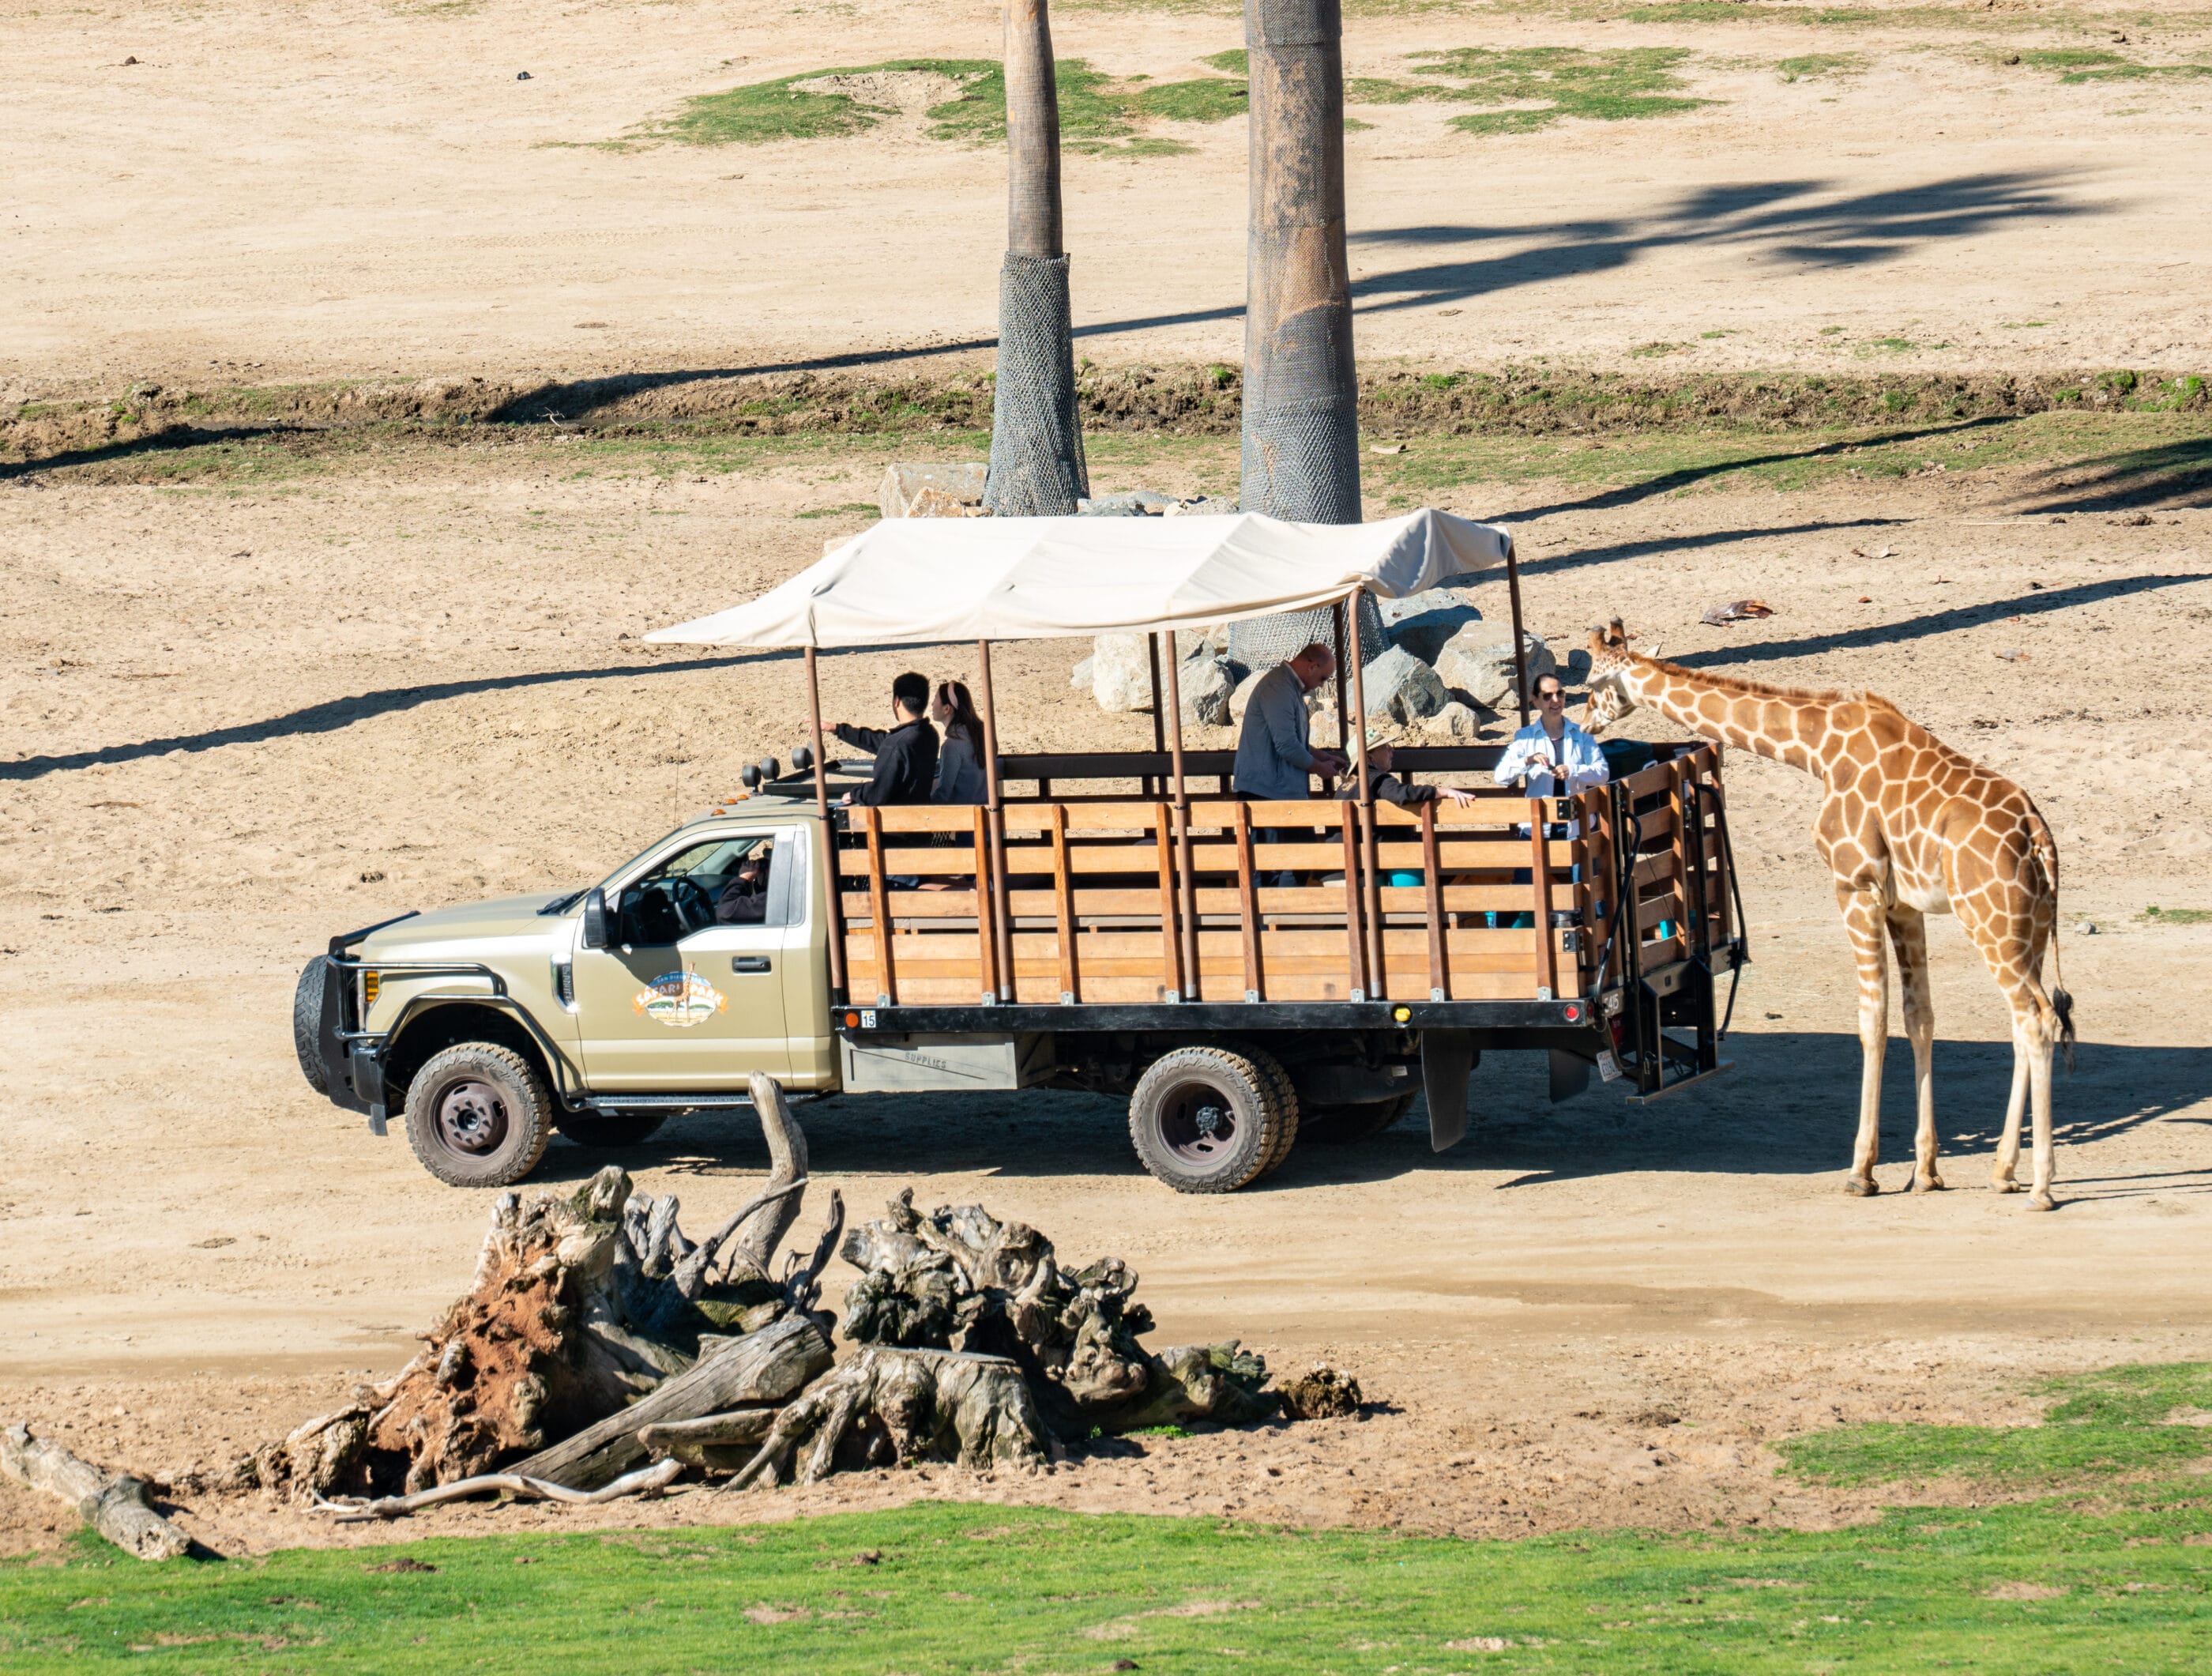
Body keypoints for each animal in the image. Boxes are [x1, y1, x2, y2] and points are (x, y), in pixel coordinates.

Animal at [1593, 619, 2070, 1211]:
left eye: (1590, 682)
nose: (1584, 721)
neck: (1819, 749)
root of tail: (2039, 836)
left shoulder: (1855, 885)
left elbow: (1872, 1019)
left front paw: (1861, 1171)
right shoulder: (1903, 904)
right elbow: (1919, 1016)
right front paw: (1925, 1170)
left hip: (1990, 921)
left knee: (2038, 1019)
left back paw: (2042, 1186)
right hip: (2029, 928)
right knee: (2023, 1020)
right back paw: (2004, 1170)